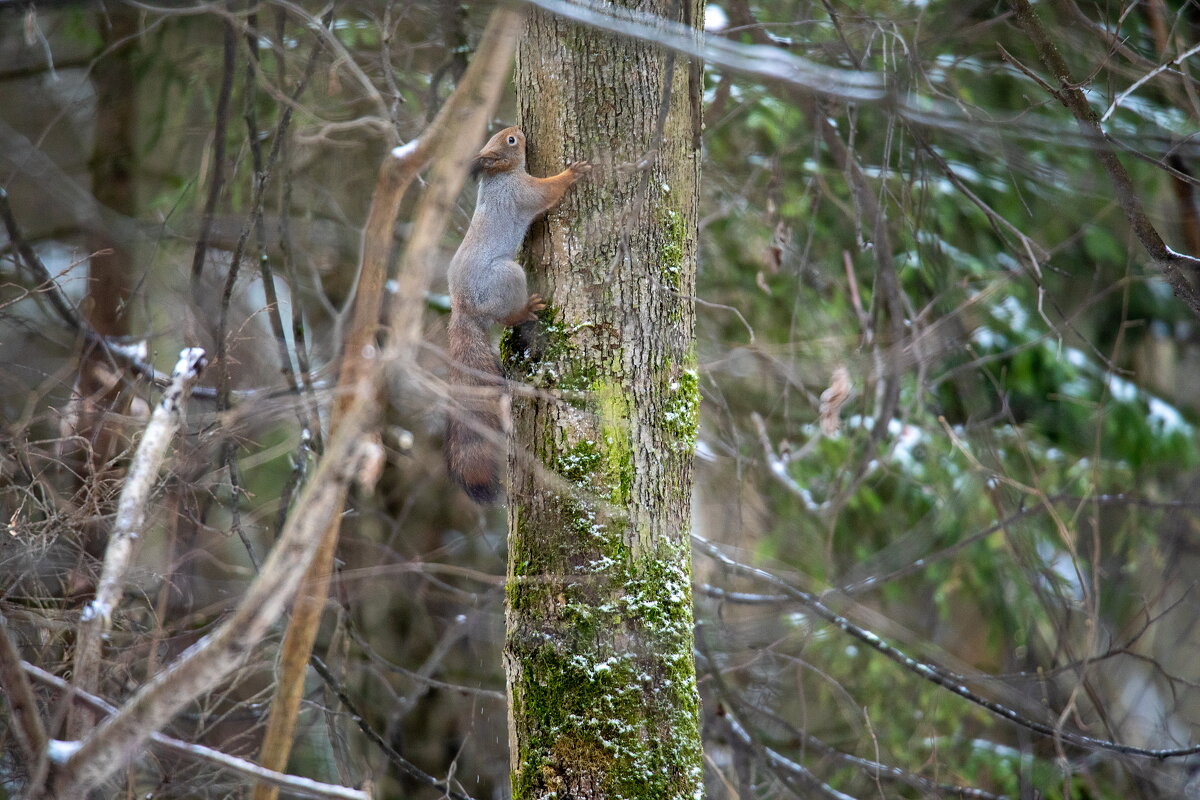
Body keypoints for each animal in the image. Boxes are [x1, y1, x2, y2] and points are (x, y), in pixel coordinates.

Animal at [444, 125, 588, 503]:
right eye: (510, 142)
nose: (518, 130)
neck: (500, 177)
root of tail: (462, 305)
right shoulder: (522, 193)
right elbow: (547, 192)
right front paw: (573, 173)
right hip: (507, 276)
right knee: (507, 317)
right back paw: (527, 308)